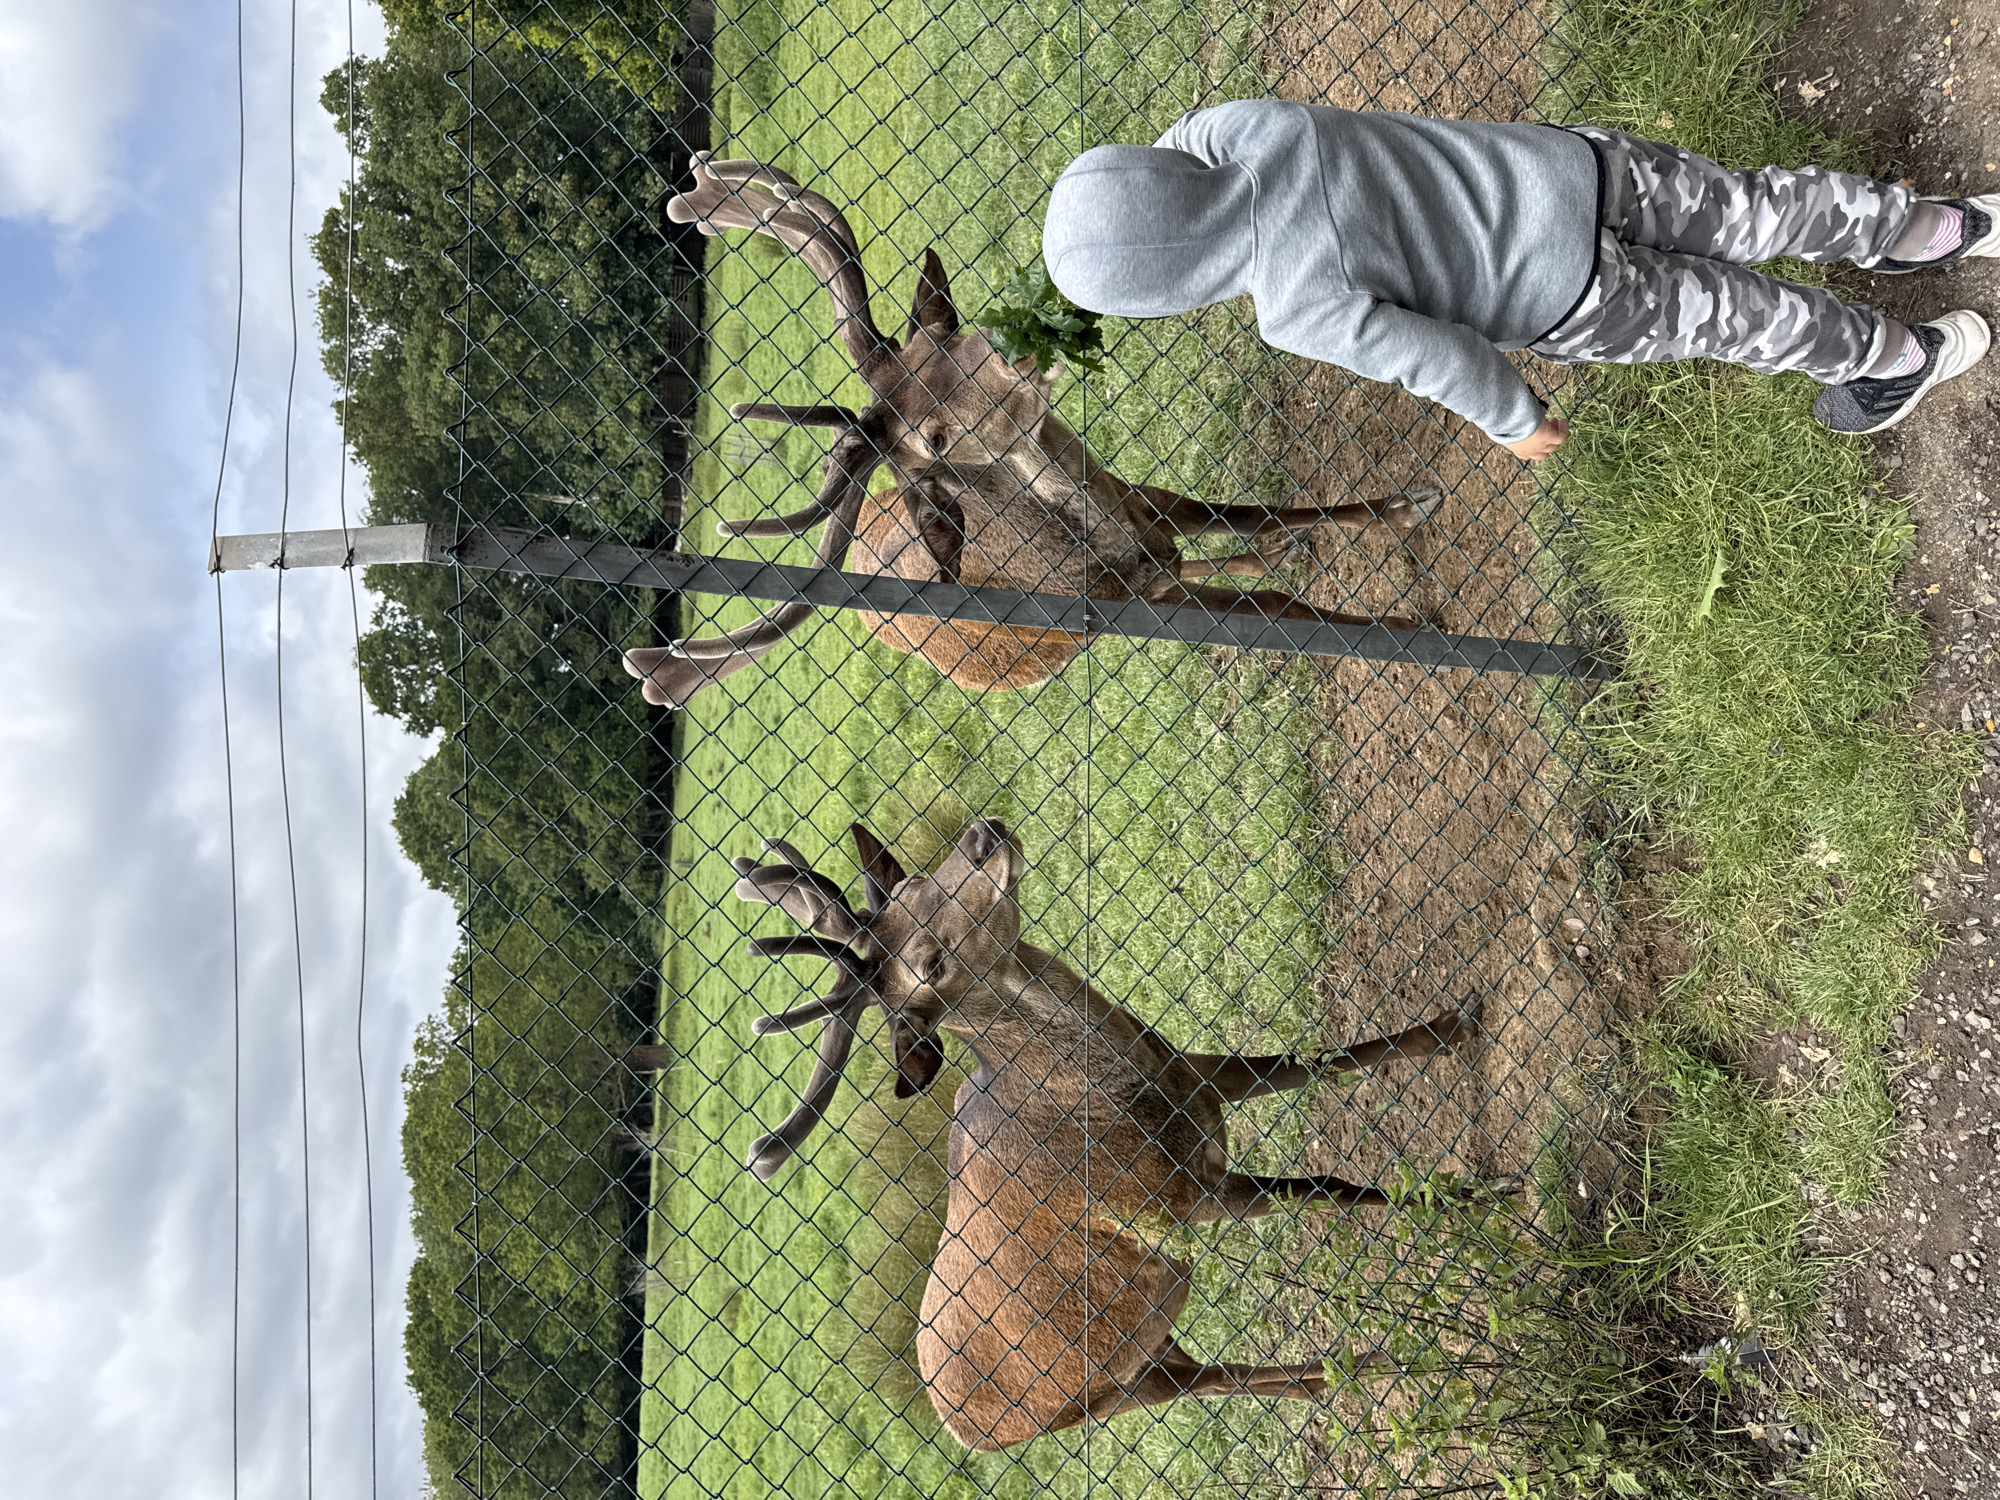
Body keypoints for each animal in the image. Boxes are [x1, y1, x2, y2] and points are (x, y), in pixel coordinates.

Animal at [623, 153, 1436, 703]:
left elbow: (1245, 512)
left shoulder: (1132, 492)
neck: (1099, 553)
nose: (1019, 356)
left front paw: (1407, 505)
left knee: (1206, 547)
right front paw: (1408, 635)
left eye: (948, 332)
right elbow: (1288, 611)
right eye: (935, 439)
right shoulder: (1140, 604)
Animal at [728, 819, 1499, 1452]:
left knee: (1214, 1367)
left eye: (916, 879)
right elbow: (1330, 1187)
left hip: (1144, 1343)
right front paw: (1471, 1200)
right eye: (930, 963)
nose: (980, 836)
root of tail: (961, 1427)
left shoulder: (1196, 1074)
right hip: (1103, 1396)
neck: (1116, 1099)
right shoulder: (1179, 1200)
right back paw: (1381, 1364)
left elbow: (1324, 1059)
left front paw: (1456, 1025)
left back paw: (1354, 1372)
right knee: (1213, 1381)